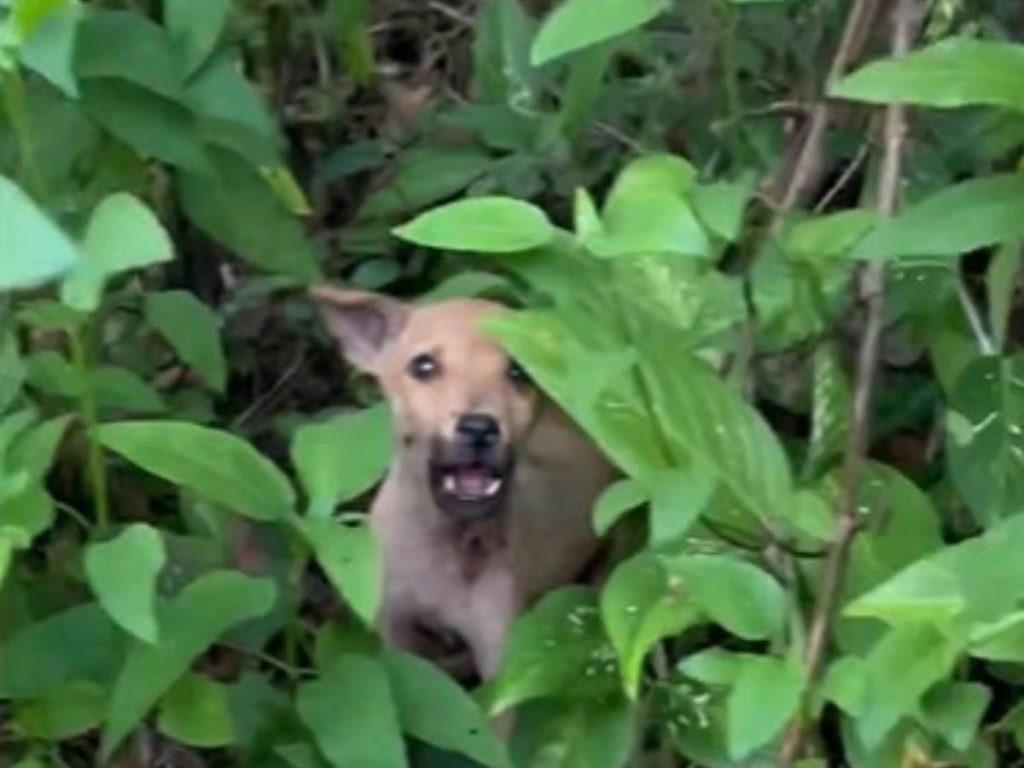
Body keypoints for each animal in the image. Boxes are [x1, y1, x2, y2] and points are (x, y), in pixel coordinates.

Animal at [311, 286, 614, 684]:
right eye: (423, 366)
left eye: (519, 372)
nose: (479, 428)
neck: (445, 543)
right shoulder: (396, 631)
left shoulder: (498, 659)